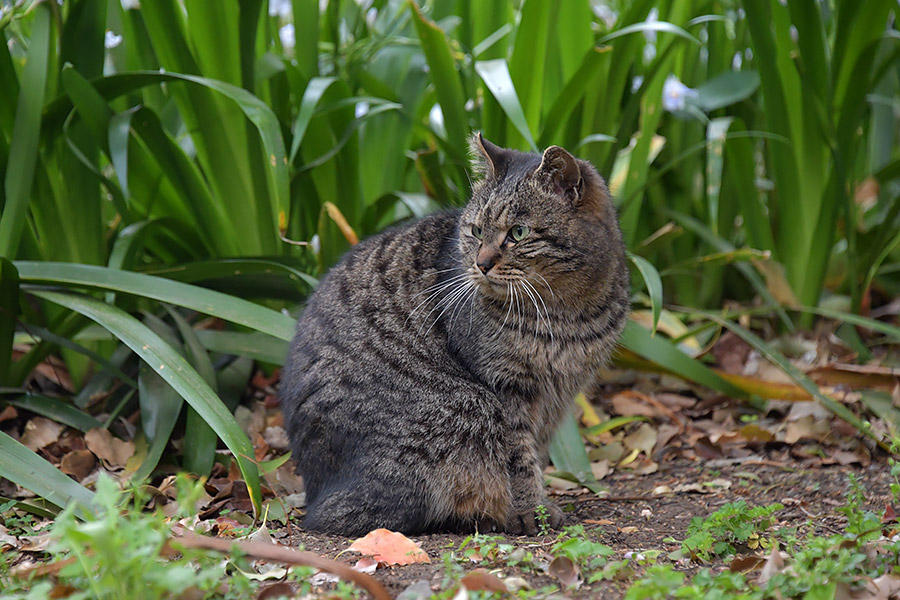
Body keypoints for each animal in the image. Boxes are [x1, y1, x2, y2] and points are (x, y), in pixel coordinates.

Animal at [280, 134, 624, 536]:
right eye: (477, 231)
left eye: (518, 233)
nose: (482, 263)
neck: (565, 314)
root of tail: (317, 496)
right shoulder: (506, 388)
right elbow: (519, 458)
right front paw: (529, 510)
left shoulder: (561, 394)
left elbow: (536, 451)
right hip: (467, 406)